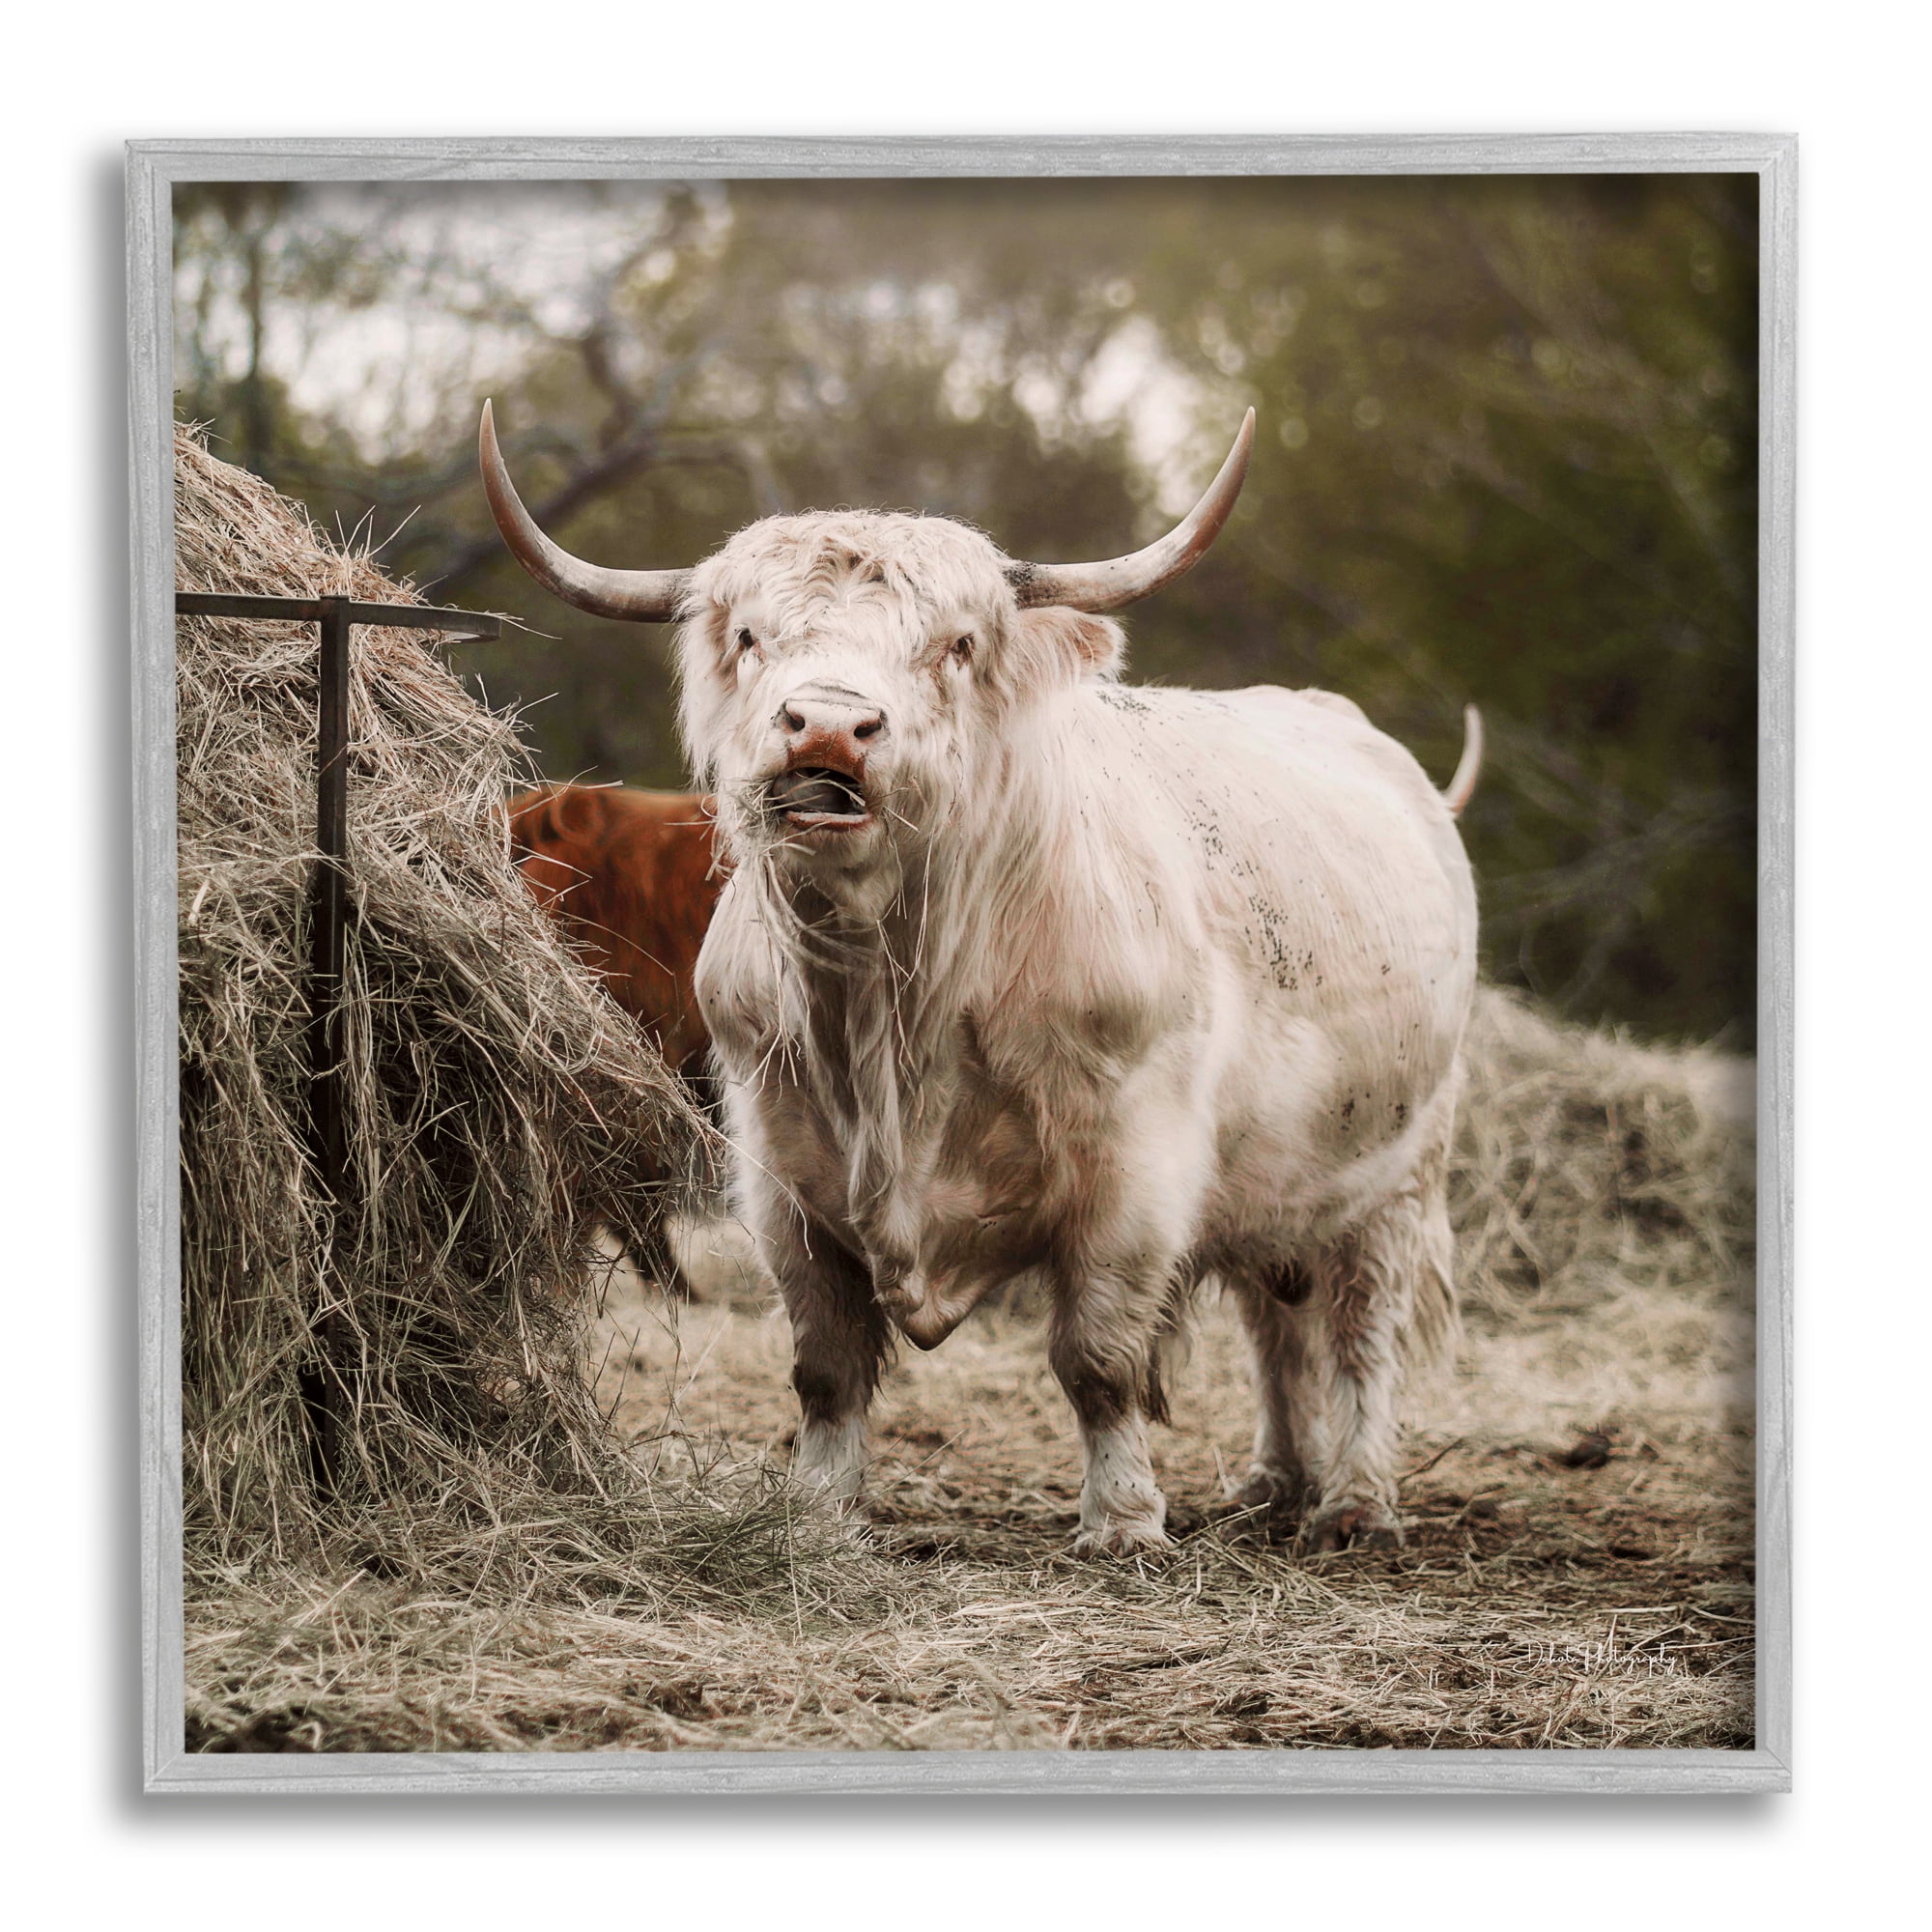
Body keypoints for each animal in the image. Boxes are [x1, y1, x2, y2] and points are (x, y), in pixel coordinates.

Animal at [479, 398, 1481, 1558]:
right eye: (749, 636)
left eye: (954, 645)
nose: (828, 726)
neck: (891, 1003)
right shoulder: (781, 1175)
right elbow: (825, 1363)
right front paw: (817, 1514)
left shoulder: (1132, 1175)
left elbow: (1098, 1358)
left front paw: (1121, 1521)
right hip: (1273, 1180)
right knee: (1274, 1323)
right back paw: (1275, 1480)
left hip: (1396, 1176)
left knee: (1362, 1329)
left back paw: (1357, 1499)